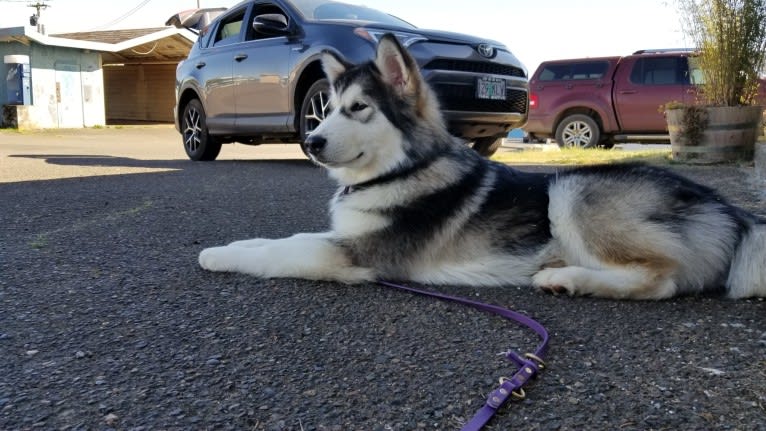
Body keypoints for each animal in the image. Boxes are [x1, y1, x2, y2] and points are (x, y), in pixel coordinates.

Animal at [201, 33, 766, 300]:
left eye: (359, 108)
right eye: (330, 108)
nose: (312, 141)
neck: (400, 171)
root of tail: (727, 208)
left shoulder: (358, 255)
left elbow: (284, 252)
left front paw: (218, 256)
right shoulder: (345, 234)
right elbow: (279, 239)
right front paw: (233, 244)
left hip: (572, 189)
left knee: (660, 280)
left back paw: (567, 279)